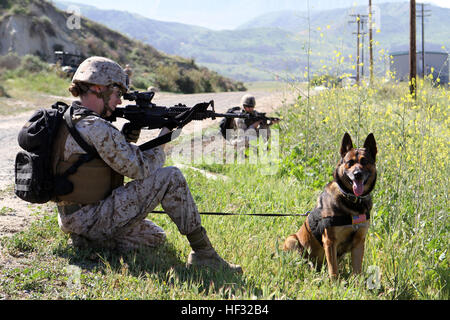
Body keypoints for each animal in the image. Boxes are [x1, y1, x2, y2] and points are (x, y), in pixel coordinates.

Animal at [284, 132, 376, 278]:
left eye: (364, 161)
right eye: (349, 163)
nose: (357, 175)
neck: (351, 201)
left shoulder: (359, 242)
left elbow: (357, 271)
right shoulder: (330, 241)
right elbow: (333, 271)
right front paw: (335, 283)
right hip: (292, 240)